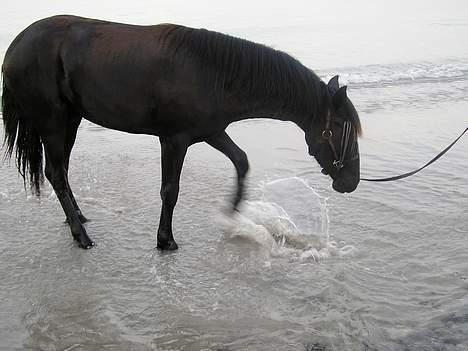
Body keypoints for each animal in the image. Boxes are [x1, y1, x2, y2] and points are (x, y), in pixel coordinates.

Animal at [0, 15, 362, 250]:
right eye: (339, 128)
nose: (351, 182)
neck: (214, 74)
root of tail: (15, 47)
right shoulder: (174, 140)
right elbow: (170, 190)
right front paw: (165, 240)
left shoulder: (212, 131)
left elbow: (241, 161)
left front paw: (232, 213)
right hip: (53, 122)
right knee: (55, 173)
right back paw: (81, 237)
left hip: (71, 121)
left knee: (61, 170)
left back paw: (78, 219)